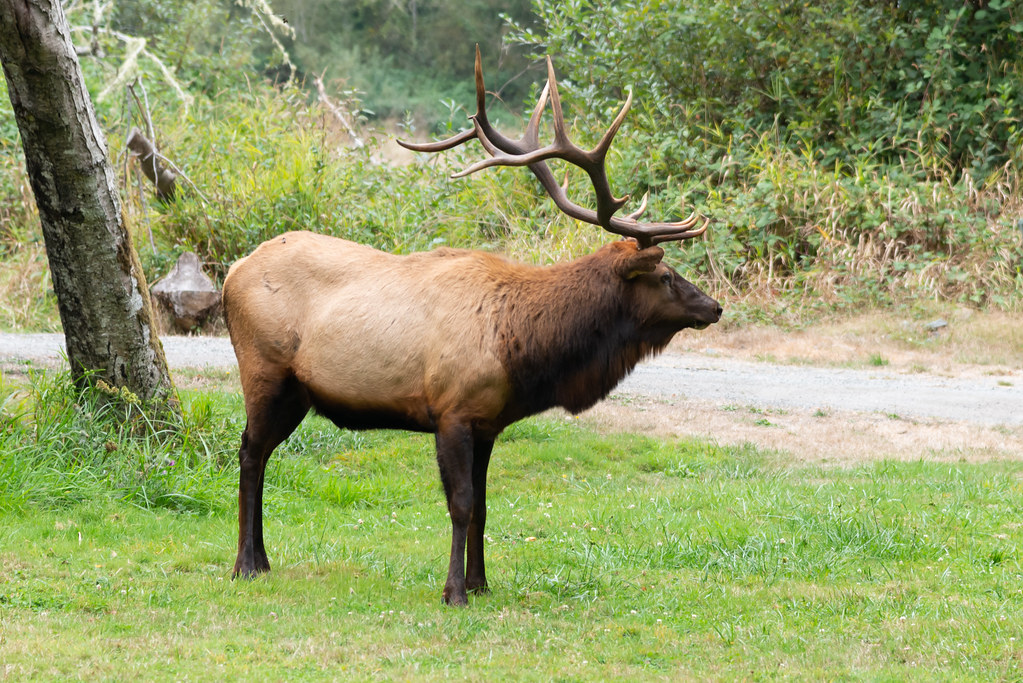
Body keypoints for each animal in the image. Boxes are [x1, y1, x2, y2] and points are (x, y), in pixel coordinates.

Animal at [222, 46, 722, 605]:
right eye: (666, 275)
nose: (715, 307)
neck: (523, 350)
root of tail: (231, 272)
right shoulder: (452, 411)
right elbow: (460, 504)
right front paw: (454, 591)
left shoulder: (488, 423)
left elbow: (483, 505)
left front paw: (482, 583)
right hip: (264, 371)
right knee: (248, 453)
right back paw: (245, 564)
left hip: (298, 393)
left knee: (261, 453)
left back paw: (263, 559)